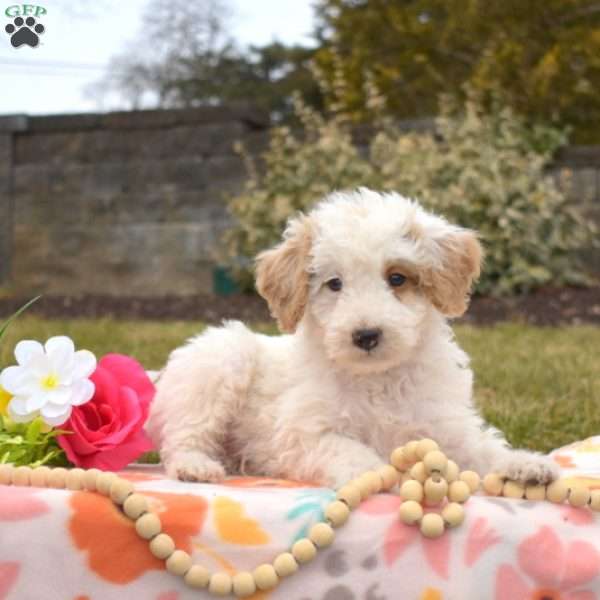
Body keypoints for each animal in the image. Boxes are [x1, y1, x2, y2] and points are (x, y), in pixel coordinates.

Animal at [148, 190, 560, 490]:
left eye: (397, 278)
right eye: (334, 284)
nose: (366, 335)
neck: (377, 378)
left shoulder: (444, 424)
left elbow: (483, 447)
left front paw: (523, 463)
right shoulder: (306, 433)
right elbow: (350, 451)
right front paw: (377, 473)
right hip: (220, 359)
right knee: (184, 436)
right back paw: (196, 466)